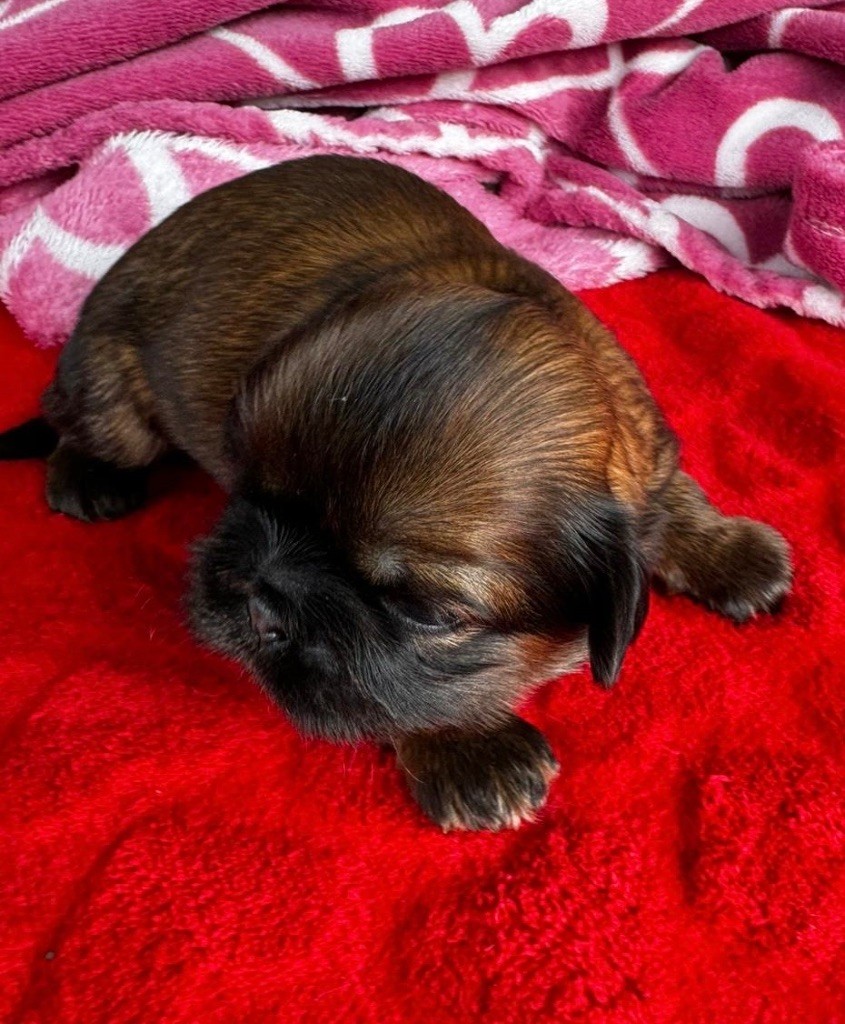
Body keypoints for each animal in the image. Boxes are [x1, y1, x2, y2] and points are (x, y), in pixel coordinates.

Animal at [0, 156, 792, 831]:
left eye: (424, 611)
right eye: (242, 486)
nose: (257, 602)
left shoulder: (646, 459)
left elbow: (672, 501)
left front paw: (729, 553)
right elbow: (392, 696)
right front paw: (469, 752)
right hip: (115, 406)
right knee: (75, 426)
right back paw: (85, 477)